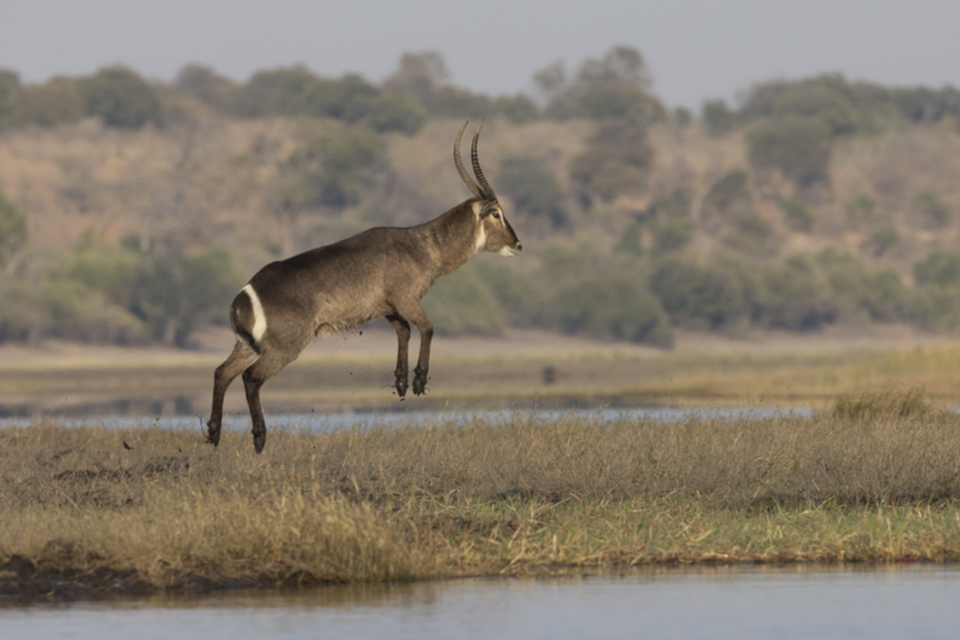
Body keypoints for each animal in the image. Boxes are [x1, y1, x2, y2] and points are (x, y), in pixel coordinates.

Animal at [205, 120, 520, 450]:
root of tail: (243, 297)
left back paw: (214, 432)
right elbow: (427, 328)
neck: (422, 246)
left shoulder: (388, 307)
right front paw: (418, 381)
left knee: (221, 373)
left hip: (247, 345)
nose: (518, 244)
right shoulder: (407, 298)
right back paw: (259, 437)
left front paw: (400, 382)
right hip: (284, 347)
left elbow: (404, 331)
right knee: (251, 378)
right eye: (497, 213)